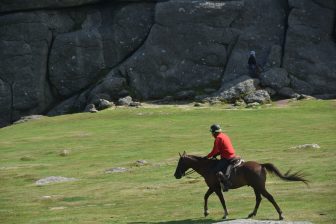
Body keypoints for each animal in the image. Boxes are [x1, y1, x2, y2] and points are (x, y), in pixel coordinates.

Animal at [175, 151, 308, 220]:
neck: (208, 167)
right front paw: (206, 212)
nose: (176, 175)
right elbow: (206, 196)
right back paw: (251, 214)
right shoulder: (213, 187)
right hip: (255, 187)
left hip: (259, 187)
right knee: (259, 199)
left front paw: (224, 214)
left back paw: (280, 214)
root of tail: (261, 165)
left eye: (180, 162)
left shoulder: (216, 188)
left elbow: (221, 200)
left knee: (269, 197)